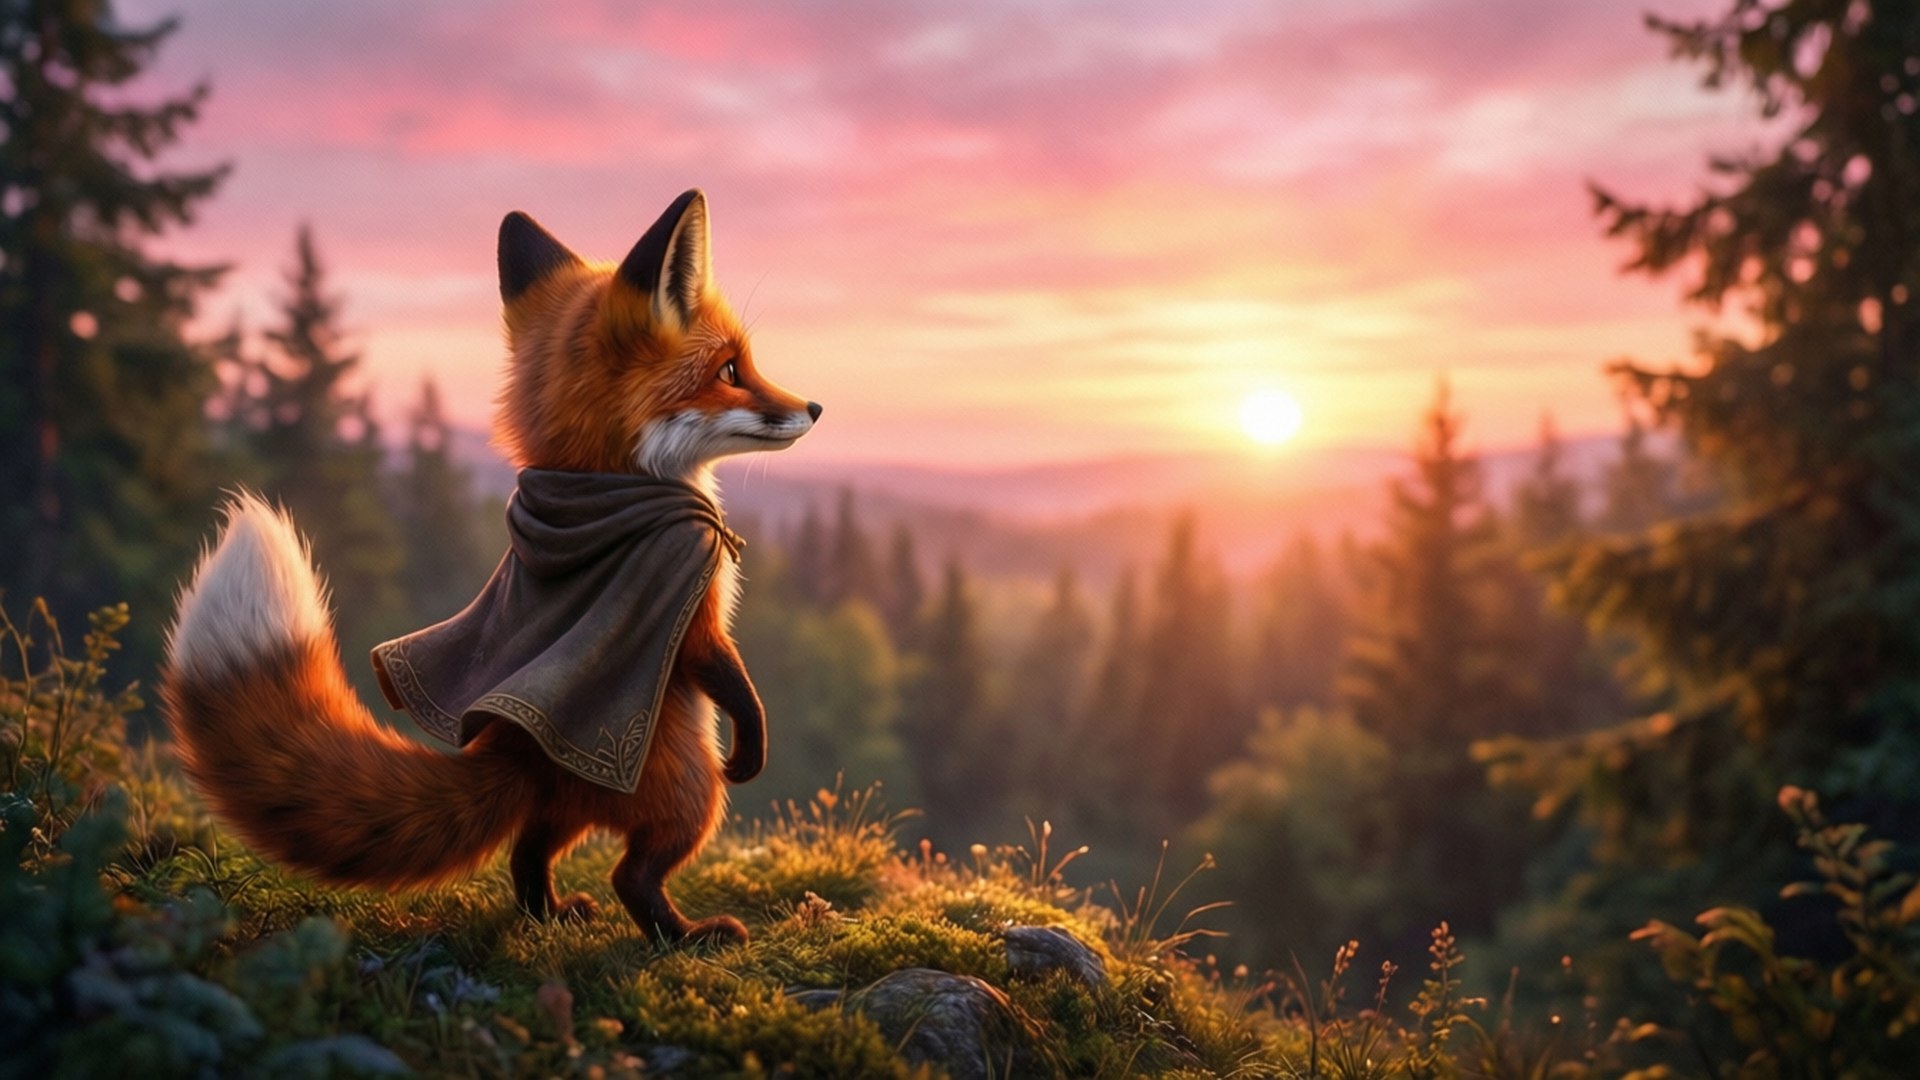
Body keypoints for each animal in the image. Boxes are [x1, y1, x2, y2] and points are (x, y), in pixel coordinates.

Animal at [162, 190, 819, 945]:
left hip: (573, 811)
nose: (814, 407)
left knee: (526, 853)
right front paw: (753, 738)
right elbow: (727, 674)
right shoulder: (692, 587)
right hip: (695, 793)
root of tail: (517, 751)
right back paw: (685, 936)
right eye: (732, 371)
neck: (608, 480)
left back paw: (551, 914)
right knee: (631, 874)